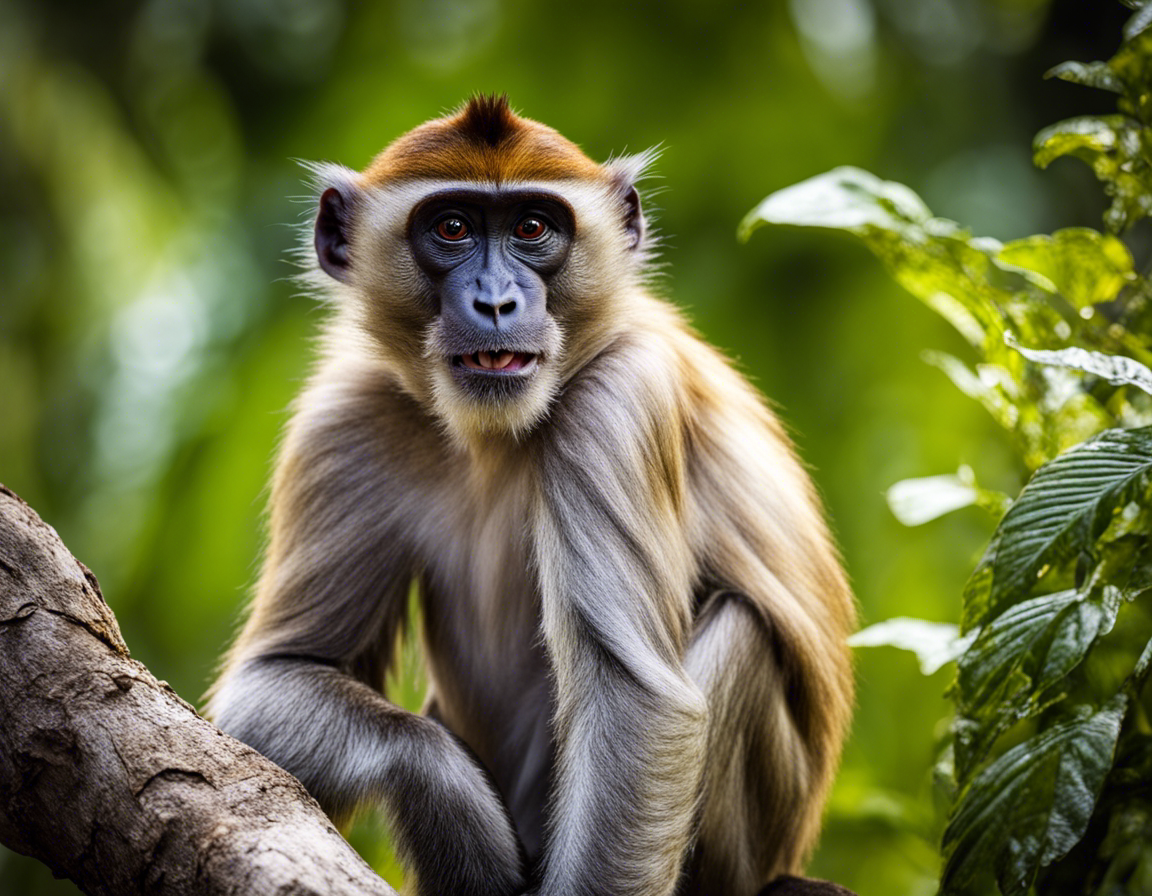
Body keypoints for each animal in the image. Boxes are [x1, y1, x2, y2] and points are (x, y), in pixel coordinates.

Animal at [207, 95, 855, 896]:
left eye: (533, 228)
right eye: (452, 227)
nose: (495, 301)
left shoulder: (621, 395)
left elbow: (638, 704)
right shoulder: (346, 419)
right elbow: (274, 678)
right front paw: (452, 808)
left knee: (741, 627)